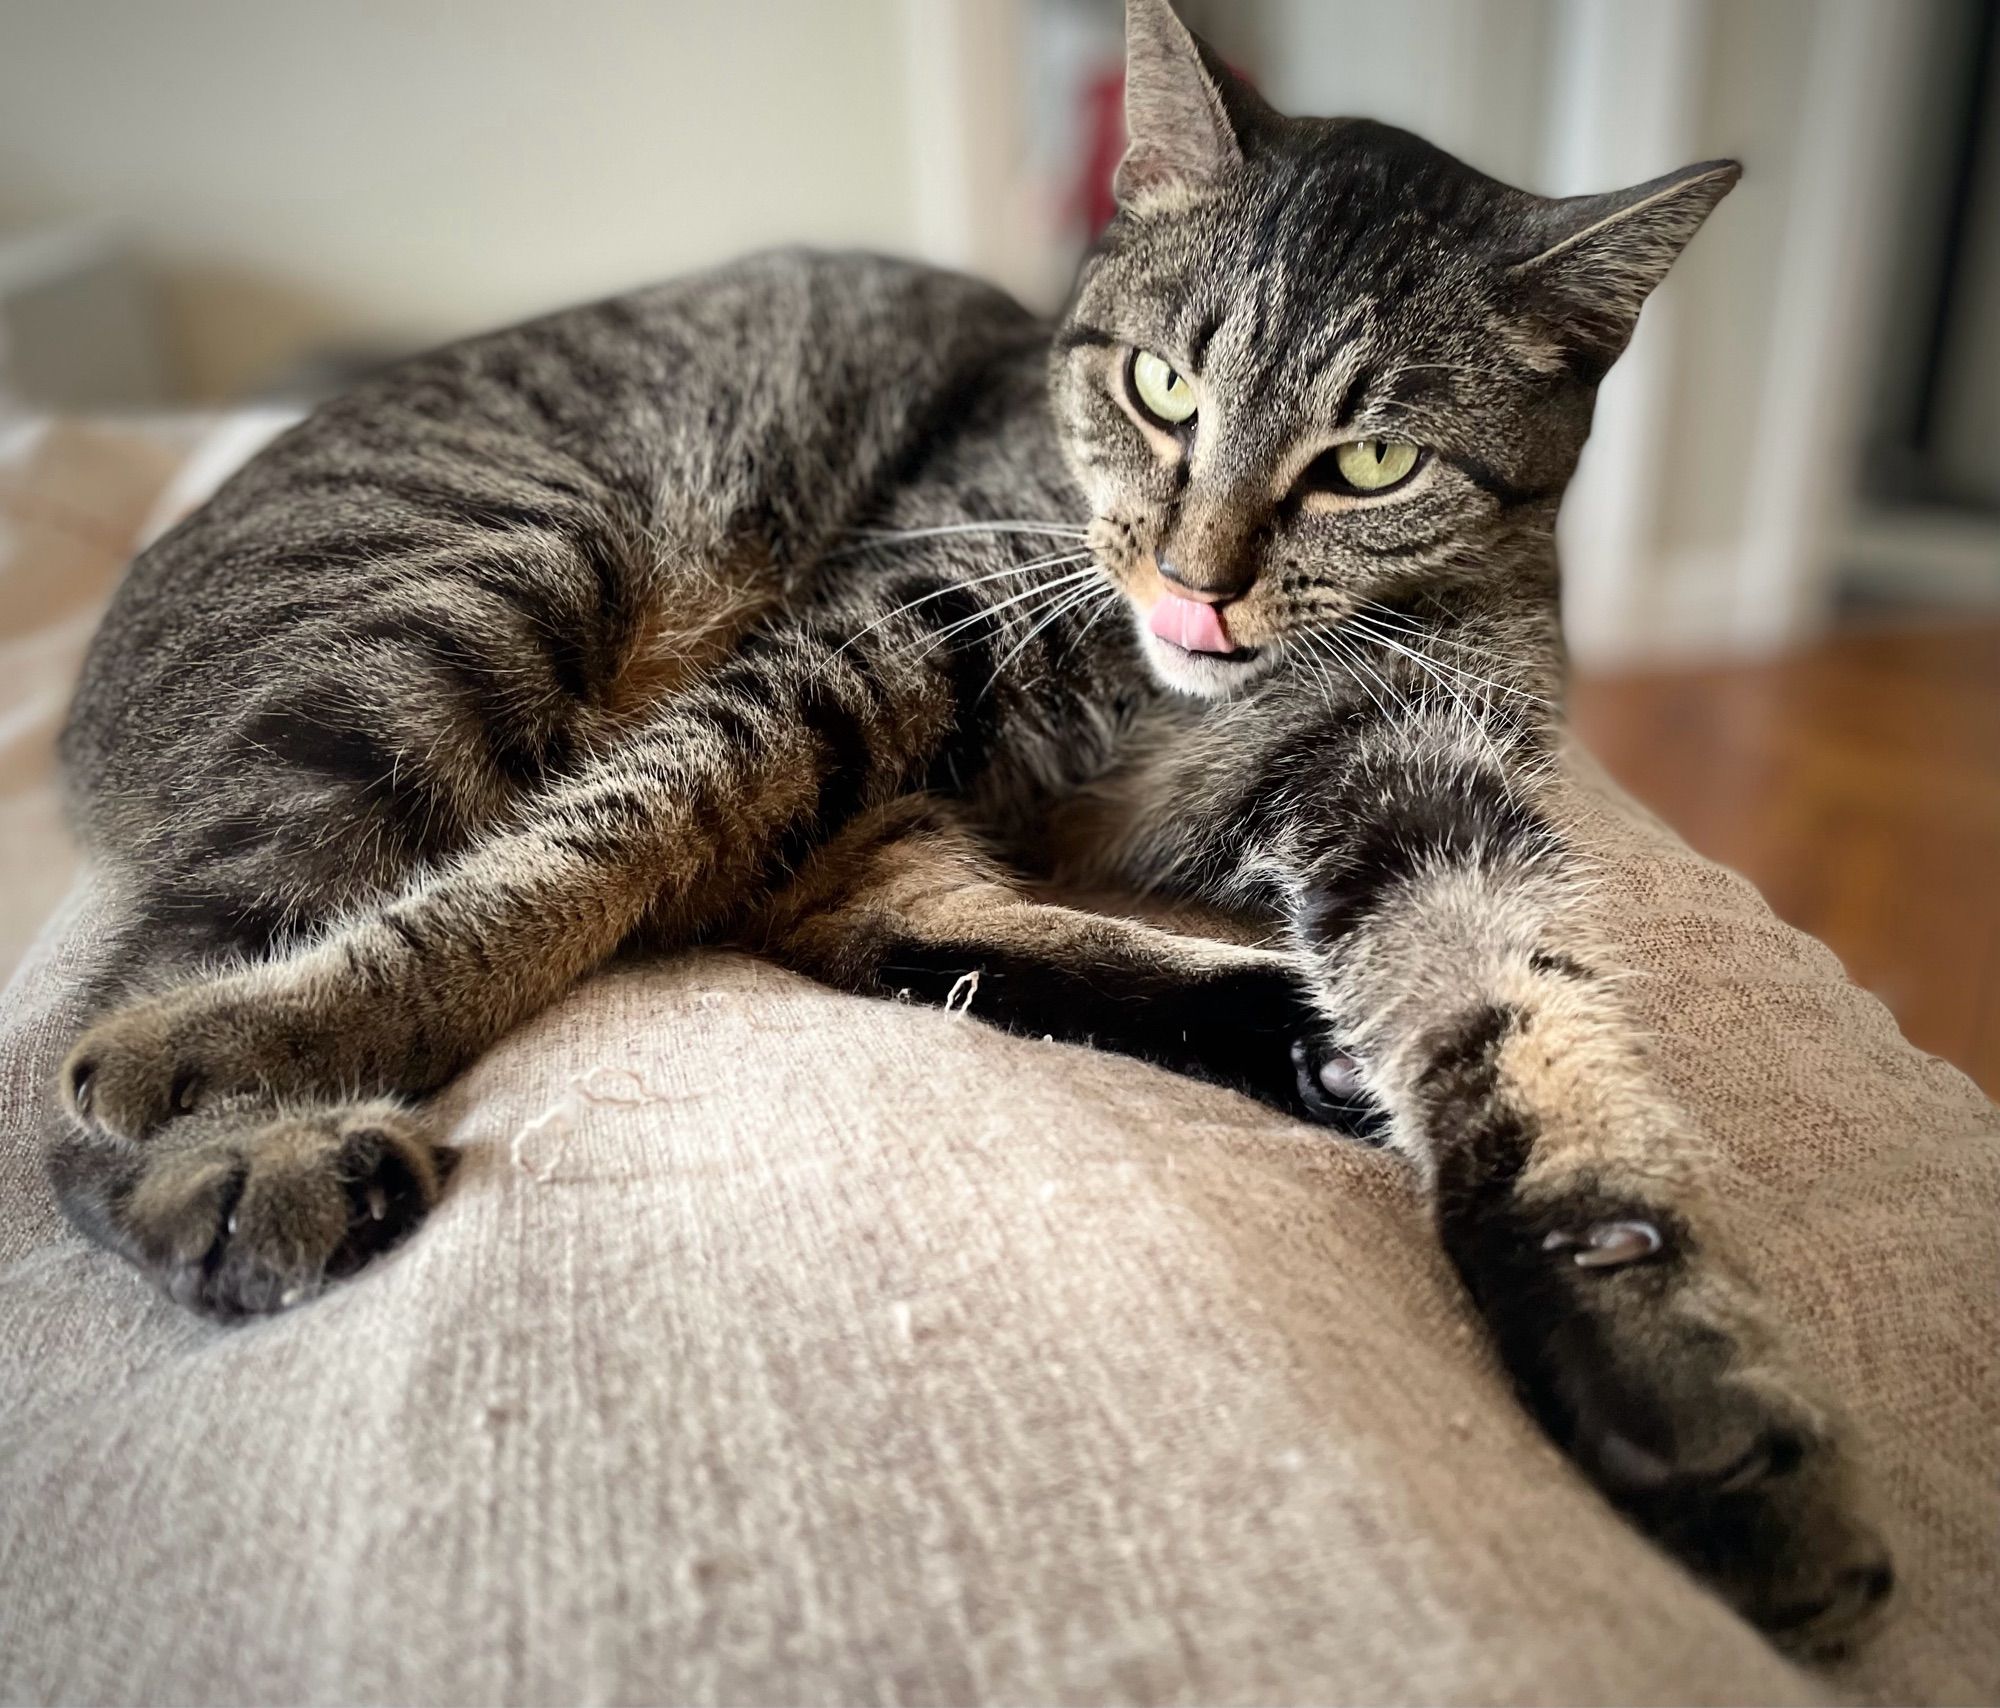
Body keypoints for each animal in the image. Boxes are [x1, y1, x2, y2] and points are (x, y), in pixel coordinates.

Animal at [43, 0, 1888, 1664]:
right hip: (478, 599)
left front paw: (1658, 1367)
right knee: (99, 1042)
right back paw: (226, 1142)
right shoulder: (863, 647)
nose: (1200, 581)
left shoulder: (1420, 769)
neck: (1169, 697)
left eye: (1371, 462)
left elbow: (1516, 1017)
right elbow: (585, 850)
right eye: (1160, 387)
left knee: (875, 922)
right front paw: (285, 1029)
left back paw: (1300, 1036)